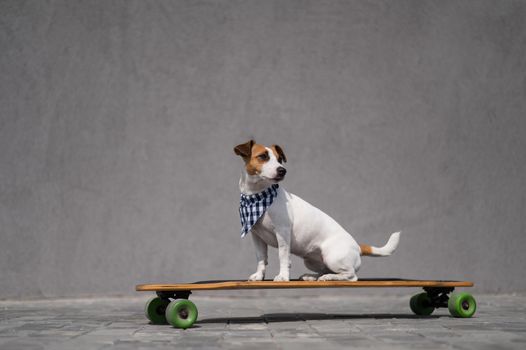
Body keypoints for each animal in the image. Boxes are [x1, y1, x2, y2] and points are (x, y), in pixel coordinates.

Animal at [233, 139, 402, 282]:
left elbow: (283, 256)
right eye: (262, 156)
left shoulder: (283, 232)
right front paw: (259, 275)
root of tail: (357, 247)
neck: (257, 196)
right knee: (326, 270)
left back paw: (329, 278)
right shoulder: (257, 236)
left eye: (279, 159)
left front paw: (283, 276)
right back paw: (313, 276)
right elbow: (261, 258)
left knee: (350, 276)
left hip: (332, 256)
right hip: (311, 260)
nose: (282, 170)